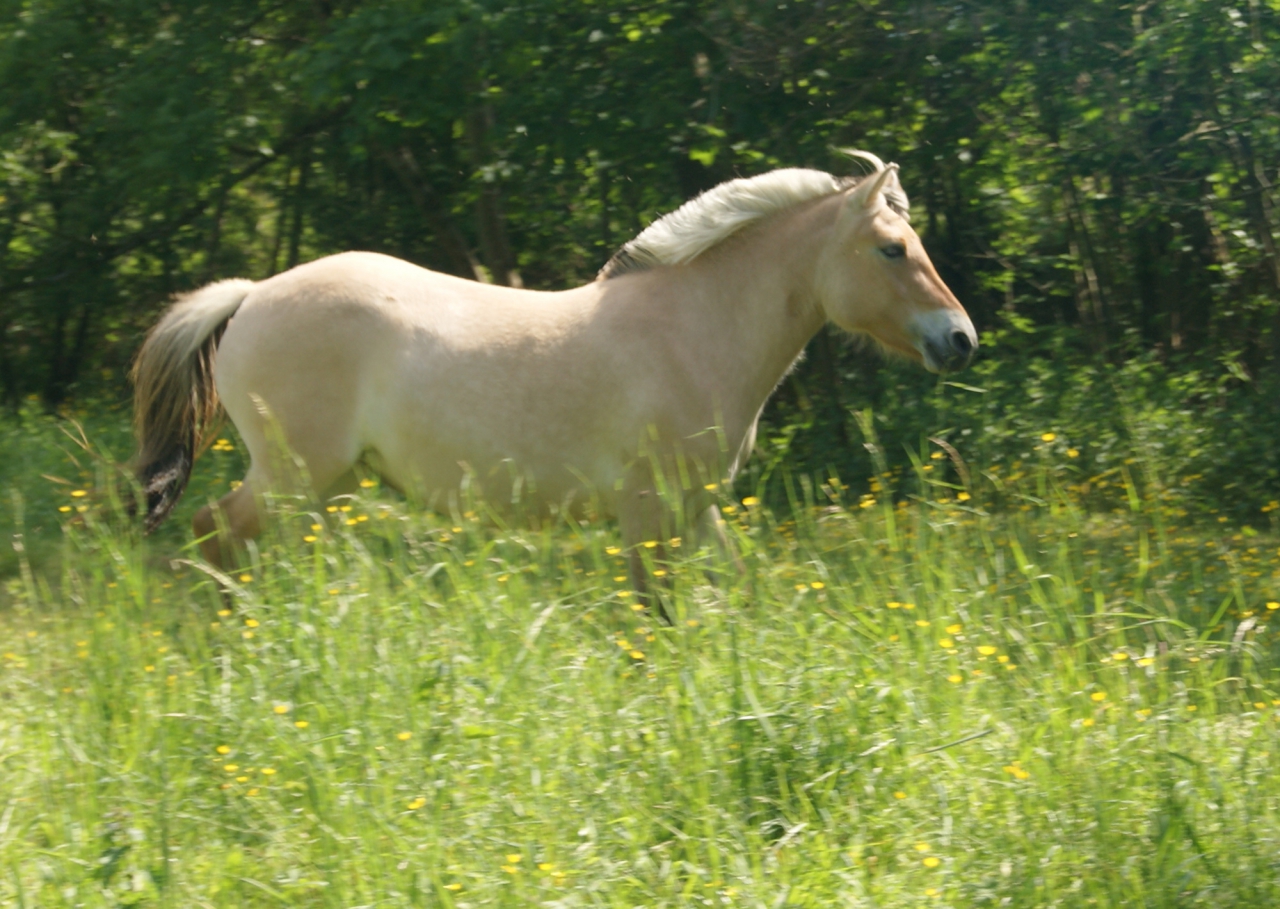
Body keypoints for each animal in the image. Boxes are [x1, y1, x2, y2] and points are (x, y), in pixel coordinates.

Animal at [131, 152, 976, 590]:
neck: (692, 329)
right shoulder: (645, 511)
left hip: (323, 481)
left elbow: (734, 586)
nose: (961, 338)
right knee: (214, 533)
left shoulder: (694, 507)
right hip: (292, 473)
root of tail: (250, 295)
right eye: (892, 248)